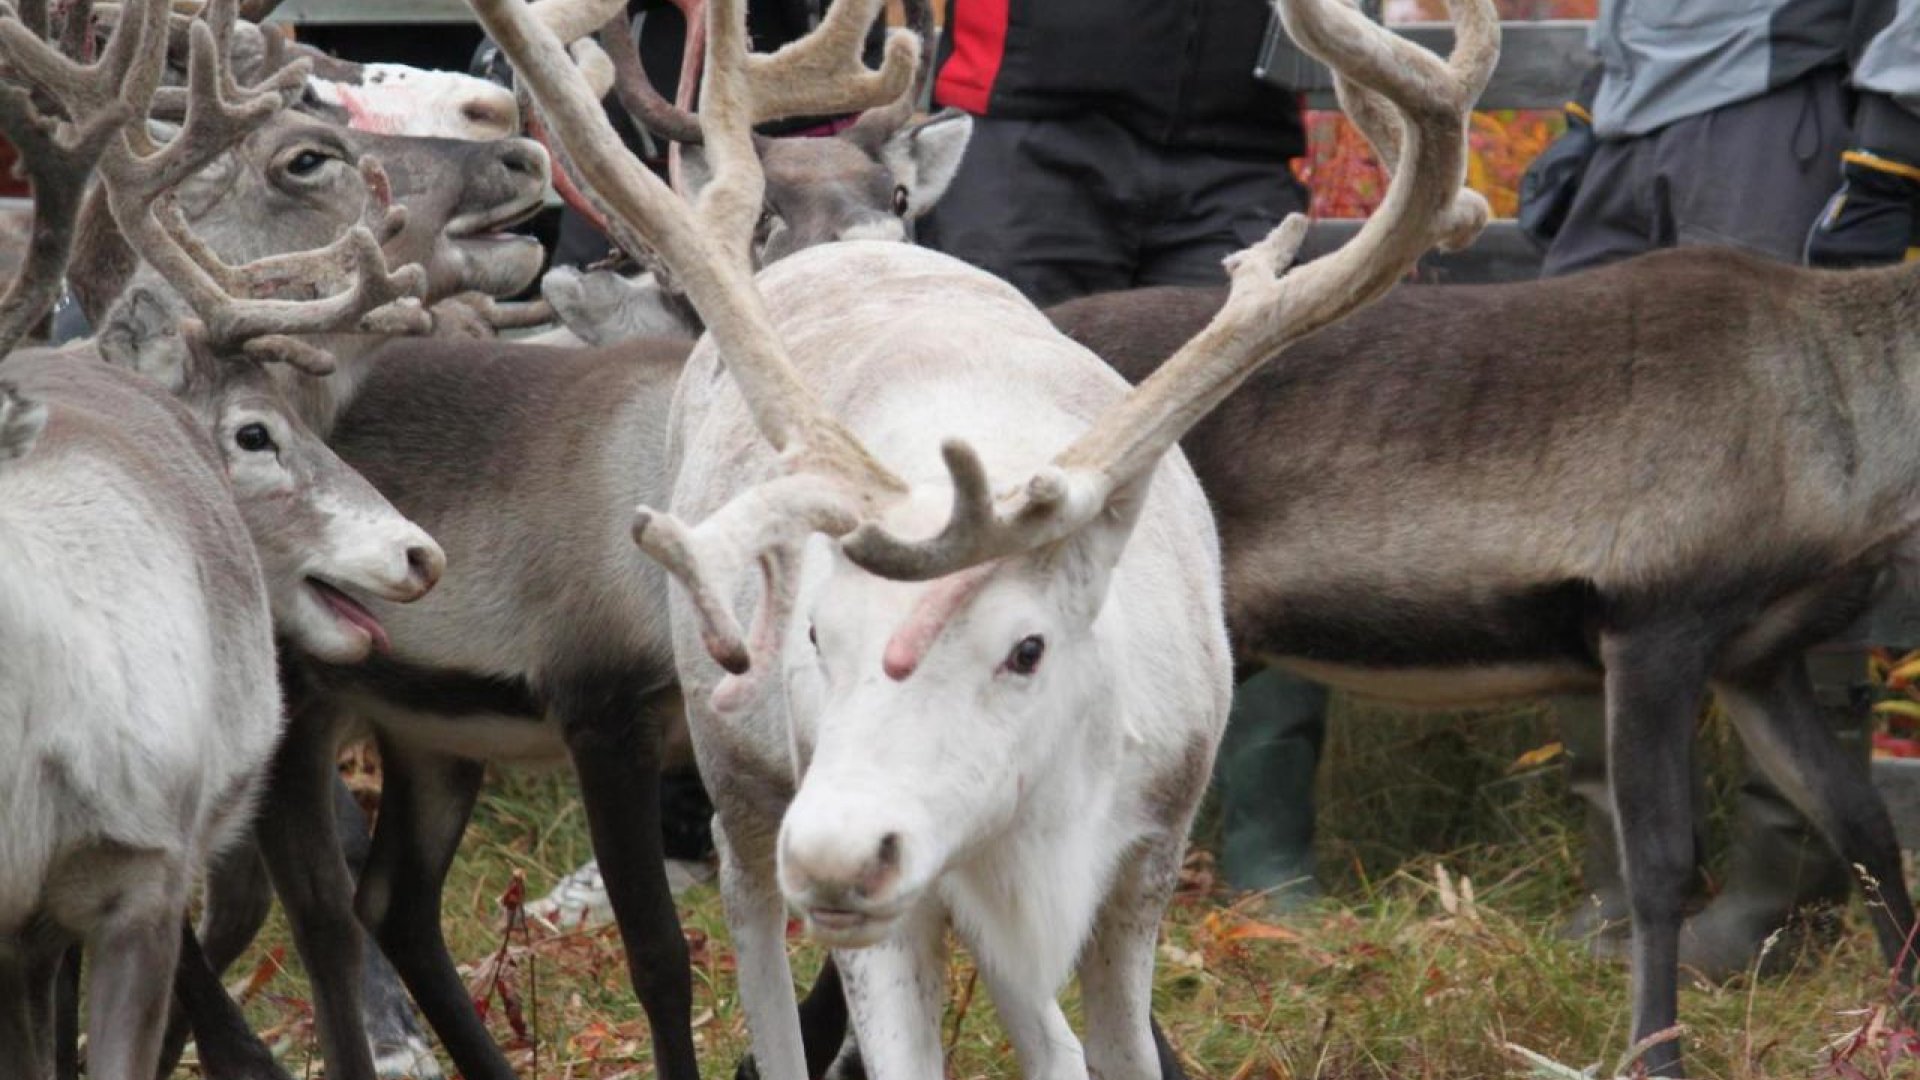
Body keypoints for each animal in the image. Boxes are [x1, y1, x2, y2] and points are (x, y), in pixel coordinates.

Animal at [478, 2, 1490, 1080]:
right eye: (816, 635)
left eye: (1026, 648)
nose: (835, 855)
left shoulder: (1147, 855)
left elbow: (1108, 1049)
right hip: (742, 769)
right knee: (750, 920)